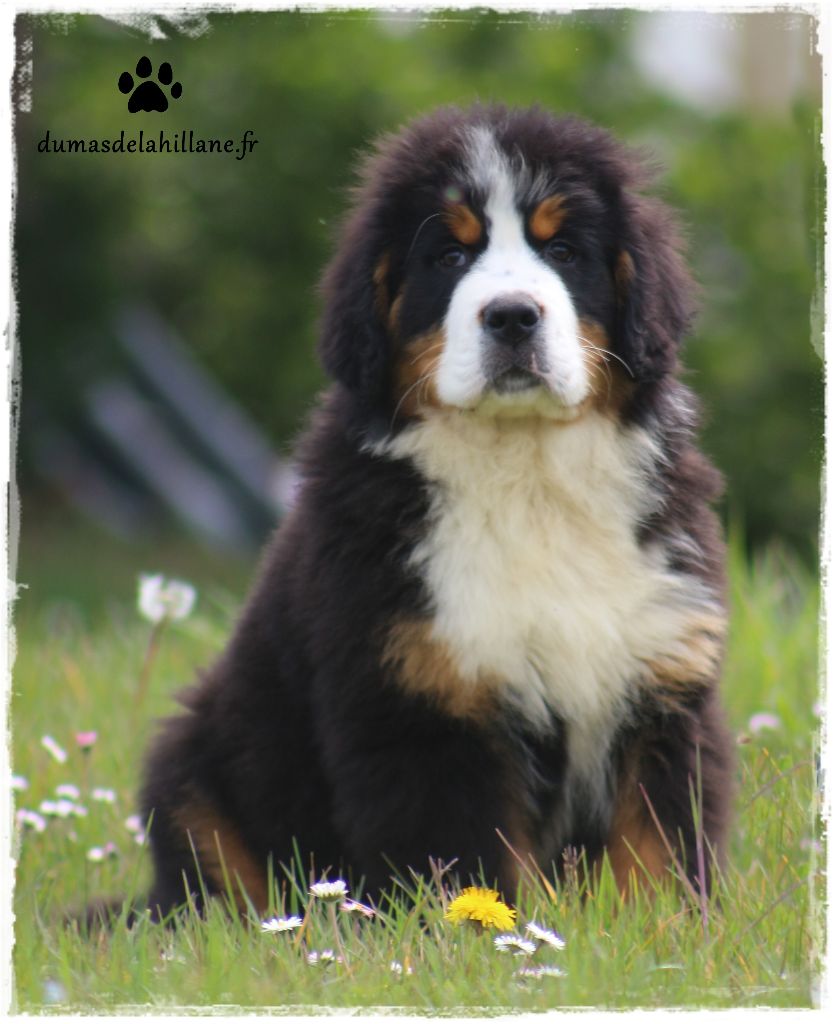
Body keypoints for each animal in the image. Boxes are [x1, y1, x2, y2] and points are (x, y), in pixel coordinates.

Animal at [139, 104, 733, 918]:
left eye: (564, 250)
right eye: (449, 256)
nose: (512, 316)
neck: (527, 474)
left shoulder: (662, 679)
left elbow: (658, 850)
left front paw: (666, 933)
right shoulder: (423, 703)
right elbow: (470, 871)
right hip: (191, 774)